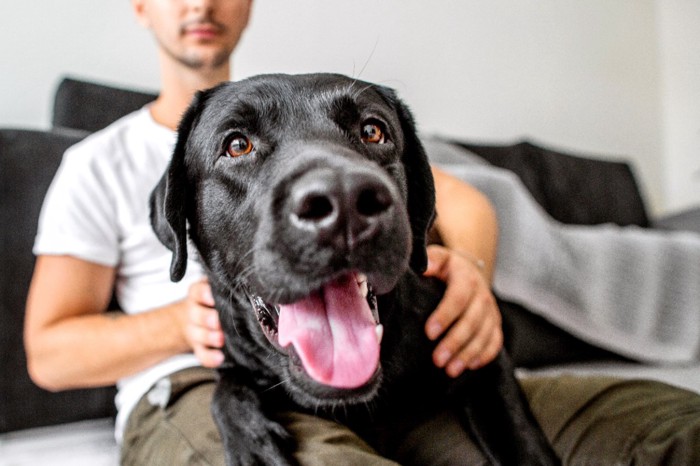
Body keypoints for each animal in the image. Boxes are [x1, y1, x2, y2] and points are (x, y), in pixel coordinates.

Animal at [150, 74, 560, 464]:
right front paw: (253, 444)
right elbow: (225, 387)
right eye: (237, 145)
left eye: (372, 131)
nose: (344, 198)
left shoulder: (481, 353)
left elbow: (519, 436)